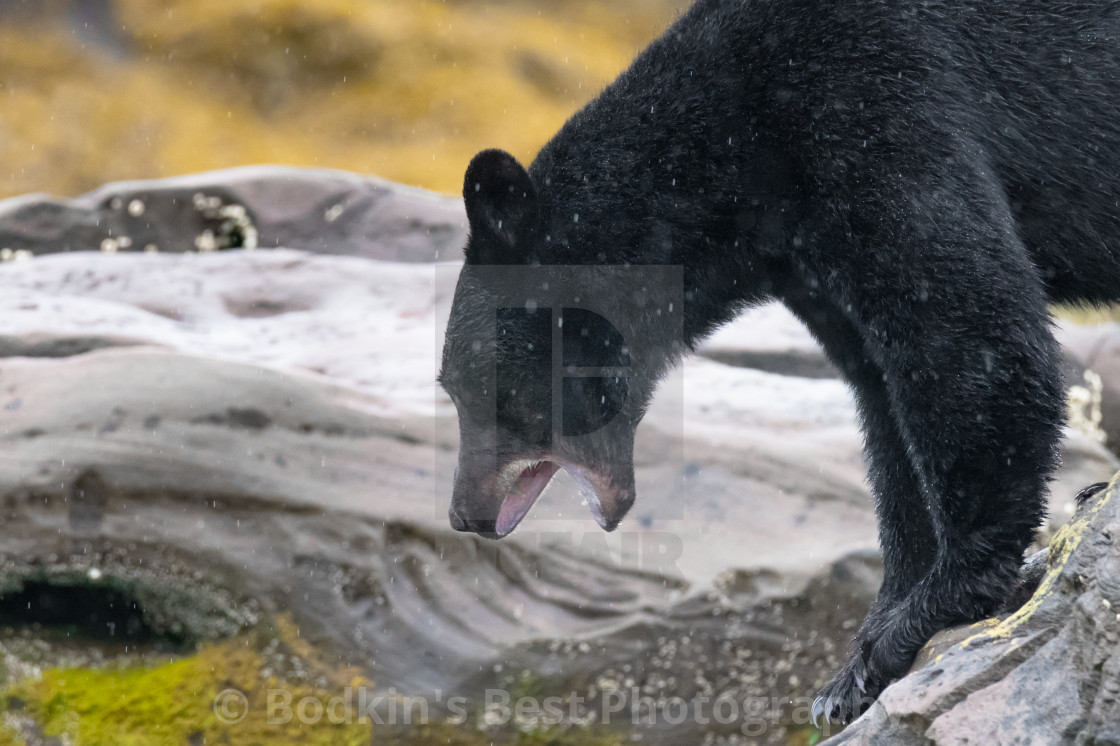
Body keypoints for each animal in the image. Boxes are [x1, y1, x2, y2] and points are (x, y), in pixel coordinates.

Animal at [436, 0, 1120, 721]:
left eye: (488, 390)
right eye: (451, 387)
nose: (465, 516)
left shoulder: (874, 113)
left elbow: (969, 328)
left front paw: (929, 610)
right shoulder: (813, 262)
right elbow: (883, 397)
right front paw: (853, 668)